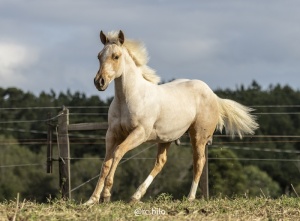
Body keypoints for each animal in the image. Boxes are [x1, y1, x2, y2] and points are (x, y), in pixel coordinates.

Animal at [85, 30, 258, 205]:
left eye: (116, 56)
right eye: (99, 56)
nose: (99, 82)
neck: (129, 98)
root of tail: (213, 95)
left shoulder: (139, 133)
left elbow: (118, 153)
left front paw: (106, 195)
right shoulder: (112, 133)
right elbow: (106, 163)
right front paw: (92, 200)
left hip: (198, 136)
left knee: (199, 162)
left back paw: (190, 197)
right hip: (166, 138)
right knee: (161, 162)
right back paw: (135, 196)